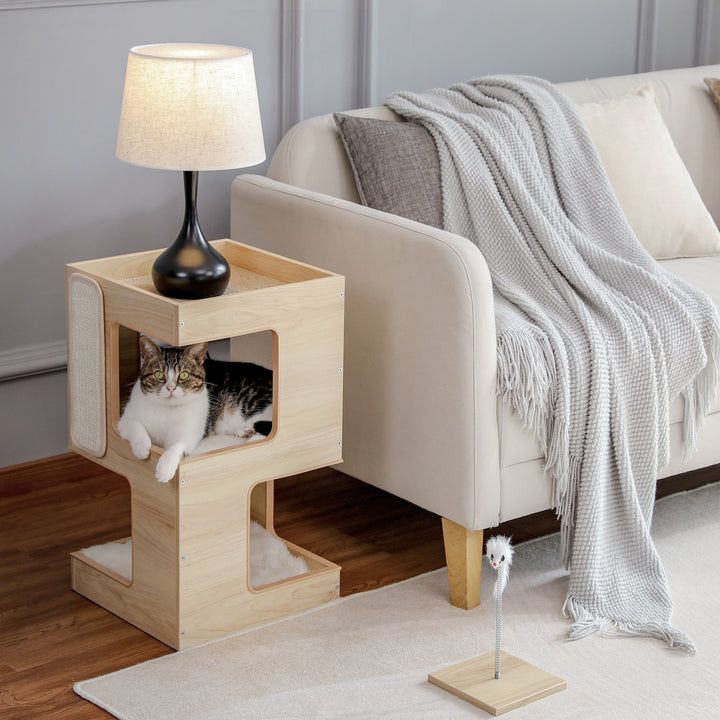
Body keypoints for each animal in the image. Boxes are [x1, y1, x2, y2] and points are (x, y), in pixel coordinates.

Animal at [119, 338, 274, 484]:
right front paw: (141, 448)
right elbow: (135, 426)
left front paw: (164, 468)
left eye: (184, 375)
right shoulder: (125, 419)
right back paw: (245, 431)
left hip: (252, 404)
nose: (170, 388)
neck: (167, 409)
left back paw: (252, 436)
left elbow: (177, 445)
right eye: (158, 375)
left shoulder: (190, 430)